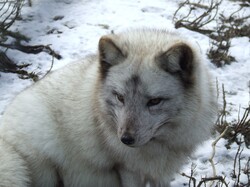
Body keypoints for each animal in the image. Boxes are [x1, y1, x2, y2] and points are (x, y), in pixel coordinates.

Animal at [0, 28, 217, 187]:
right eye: (120, 97)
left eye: (154, 101)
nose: (126, 139)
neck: (159, 145)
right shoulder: (127, 170)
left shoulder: (159, 173)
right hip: (45, 166)